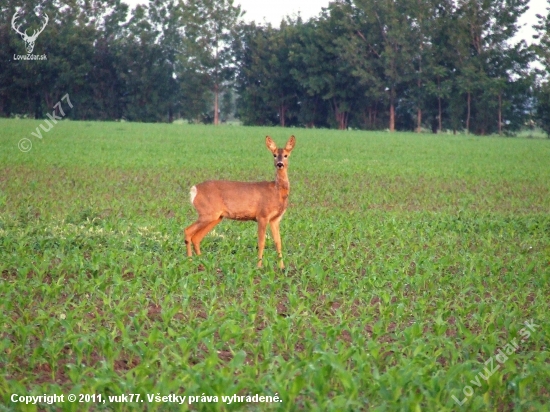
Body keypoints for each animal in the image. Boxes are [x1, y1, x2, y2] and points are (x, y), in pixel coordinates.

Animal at [185, 136, 298, 270]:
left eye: (286, 155)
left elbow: (278, 242)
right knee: (187, 231)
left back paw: (202, 264)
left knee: (196, 237)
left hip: (215, 216)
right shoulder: (262, 216)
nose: (280, 164)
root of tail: (194, 190)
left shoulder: (275, 219)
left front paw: (282, 267)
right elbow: (261, 241)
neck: (276, 192)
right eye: (274, 155)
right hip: (207, 213)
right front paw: (258, 266)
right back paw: (190, 262)